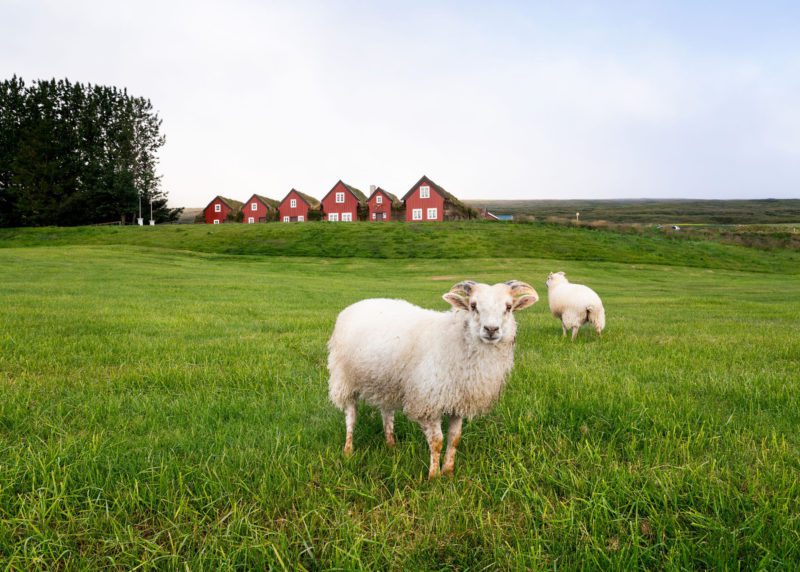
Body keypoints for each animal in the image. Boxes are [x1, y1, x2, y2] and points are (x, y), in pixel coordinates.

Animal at [327, 280, 539, 479]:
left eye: (508, 307)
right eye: (473, 305)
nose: (491, 329)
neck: (457, 340)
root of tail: (357, 304)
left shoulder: (458, 402)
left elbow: (455, 439)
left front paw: (448, 472)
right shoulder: (429, 402)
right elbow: (437, 442)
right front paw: (434, 476)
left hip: (386, 381)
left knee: (387, 413)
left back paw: (391, 444)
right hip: (344, 379)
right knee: (351, 416)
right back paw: (348, 449)